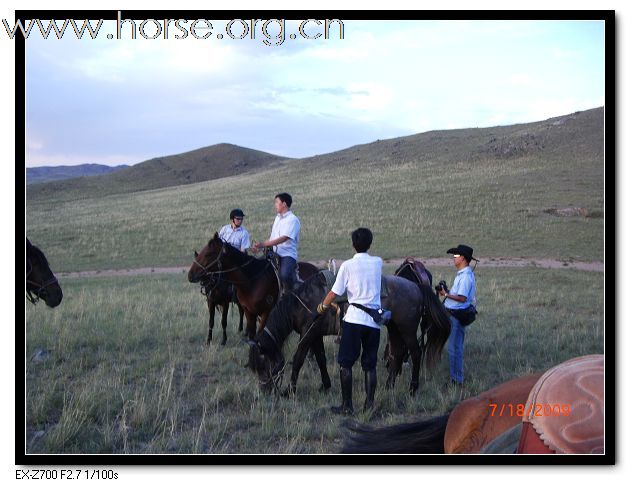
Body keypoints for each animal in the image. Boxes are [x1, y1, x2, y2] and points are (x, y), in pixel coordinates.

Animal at [185, 233, 318, 338]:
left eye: (208, 254)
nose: (190, 275)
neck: (253, 281)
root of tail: (316, 269)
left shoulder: (266, 312)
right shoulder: (249, 311)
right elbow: (251, 335)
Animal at [249, 270, 452, 396]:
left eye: (263, 365)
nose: (265, 391)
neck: (304, 303)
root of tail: (417, 287)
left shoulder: (308, 334)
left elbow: (298, 360)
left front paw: (290, 391)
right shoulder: (315, 335)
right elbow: (321, 359)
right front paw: (325, 385)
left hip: (407, 329)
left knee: (415, 353)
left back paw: (412, 388)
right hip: (394, 328)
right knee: (397, 353)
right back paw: (389, 385)